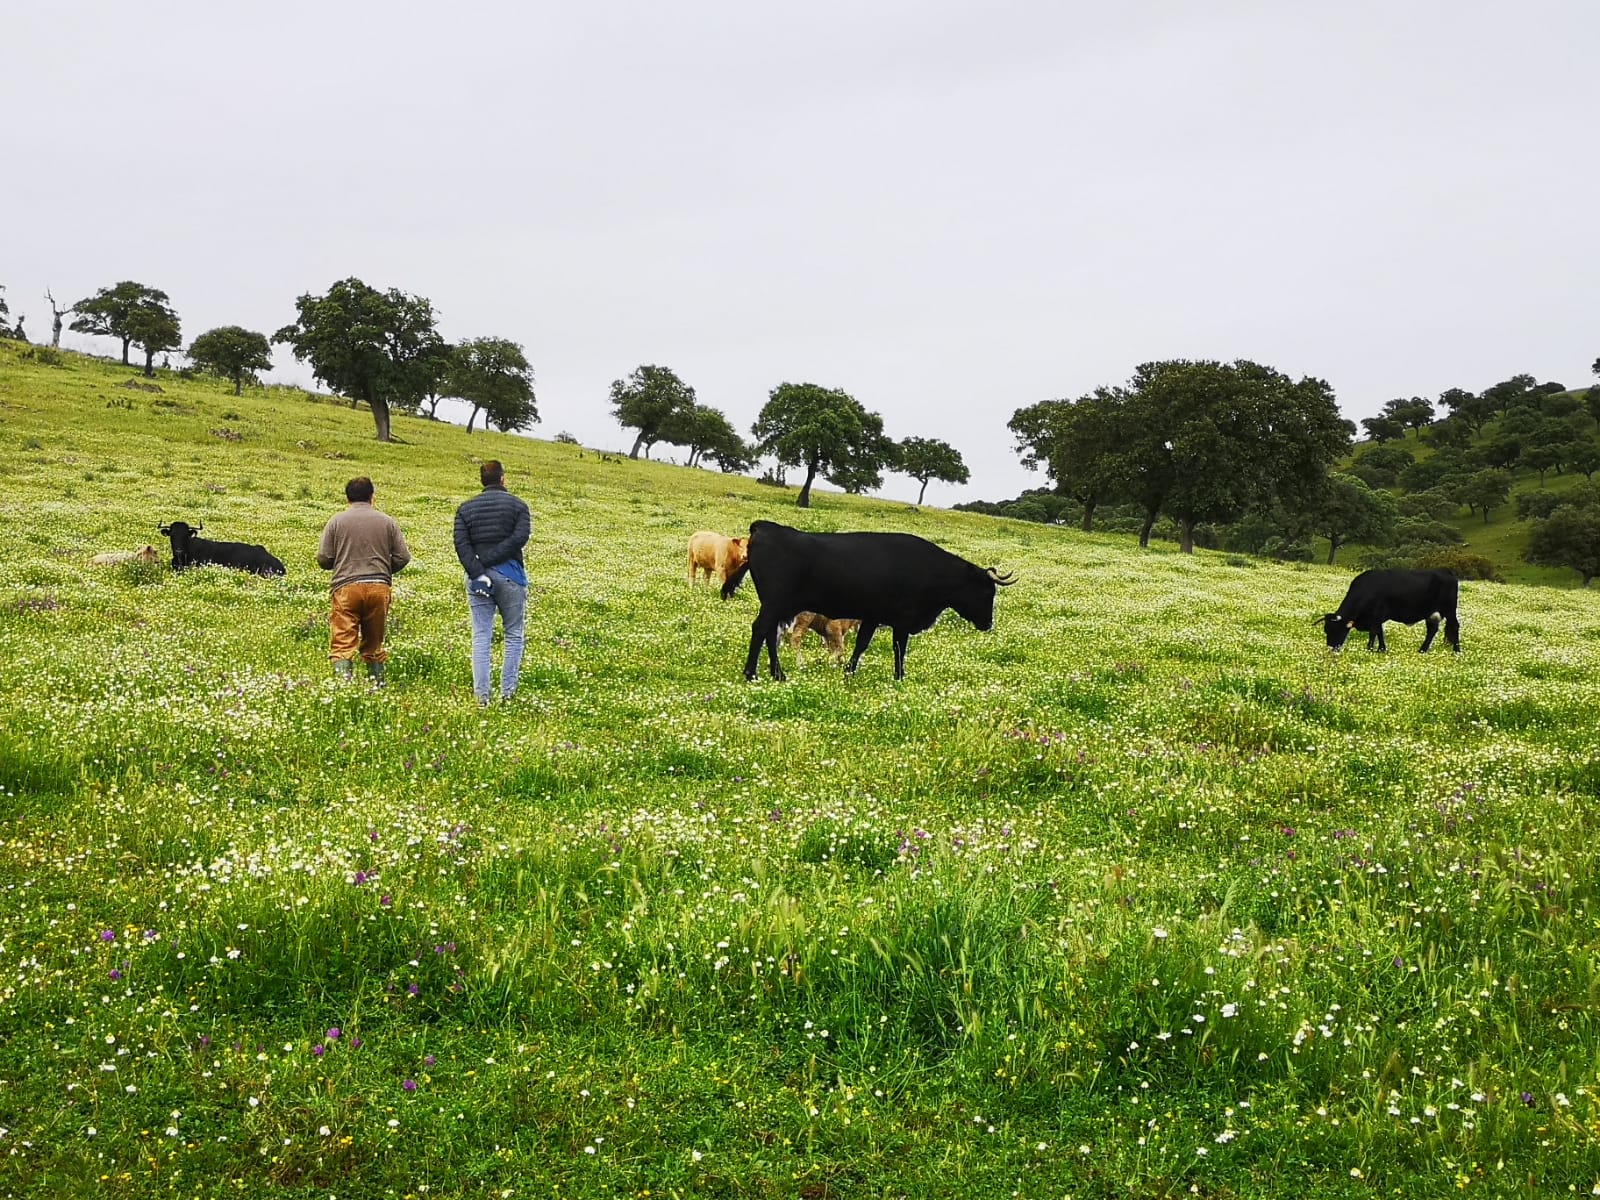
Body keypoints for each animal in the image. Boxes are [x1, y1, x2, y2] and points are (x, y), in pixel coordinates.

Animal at [723, 521, 1017, 681]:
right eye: (986, 592)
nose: (988, 623)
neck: (930, 570)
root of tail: (765, 527)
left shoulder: (873, 616)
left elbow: (862, 644)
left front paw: (849, 672)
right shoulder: (901, 621)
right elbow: (899, 649)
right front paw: (899, 677)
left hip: (780, 607)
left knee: (769, 634)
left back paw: (777, 673)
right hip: (775, 604)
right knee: (761, 629)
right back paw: (752, 673)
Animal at [1318, 569, 1459, 652]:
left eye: (1335, 629)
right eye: (1326, 630)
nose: (1331, 648)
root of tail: (1448, 573)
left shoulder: (1376, 615)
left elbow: (1374, 632)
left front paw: (1369, 649)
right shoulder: (1377, 618)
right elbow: (1380, 632)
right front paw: (1381, 649)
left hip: (1450, 610)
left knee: (1455, 626)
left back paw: (1457, 651)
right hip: (1431, 614)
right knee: (1432, 630)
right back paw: (1422, 650)